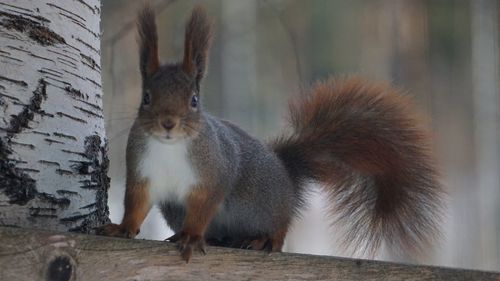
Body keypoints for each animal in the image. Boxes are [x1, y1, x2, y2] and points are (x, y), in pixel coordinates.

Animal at [96, 4, 442, 262]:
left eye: (194, 100)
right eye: (146, 98)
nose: (168, 123)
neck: (170, 147)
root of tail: (287, 175)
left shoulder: (213, 175)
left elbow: (204, 207)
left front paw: (193, 237)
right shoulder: (141, 172)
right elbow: (136, 204)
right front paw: (122, 228)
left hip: (264, 203)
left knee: (280, 227)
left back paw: (264, 240)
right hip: (175, 209)